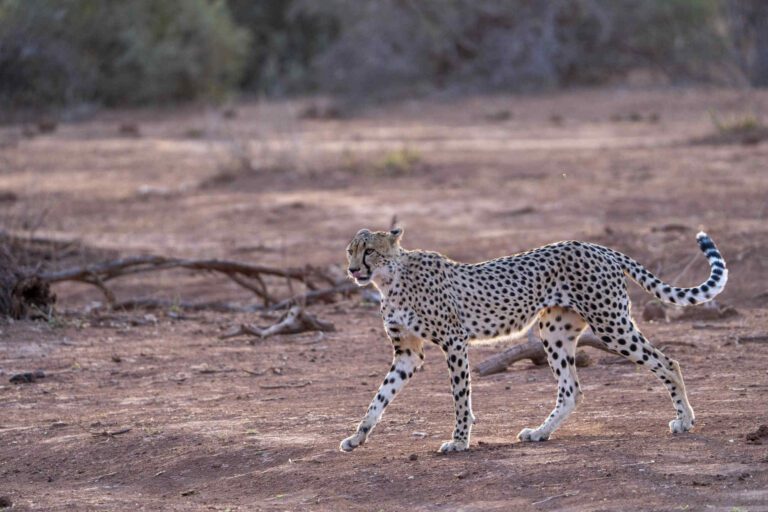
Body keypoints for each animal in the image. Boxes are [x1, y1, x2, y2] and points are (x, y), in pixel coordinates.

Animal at [339, 227, 727, 453]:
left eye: (369, 251)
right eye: (350, 250)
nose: (353, 270)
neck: (390, 280)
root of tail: (599, 247)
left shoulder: (454, 341)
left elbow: (460, 397)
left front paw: (460, 440)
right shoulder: (407, 354)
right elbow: (379, 398)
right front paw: (358, 436)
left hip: (610, 324)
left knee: (667, 360)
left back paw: (685, 420)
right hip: (554, 330)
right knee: (571, 390)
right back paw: (541, 432)